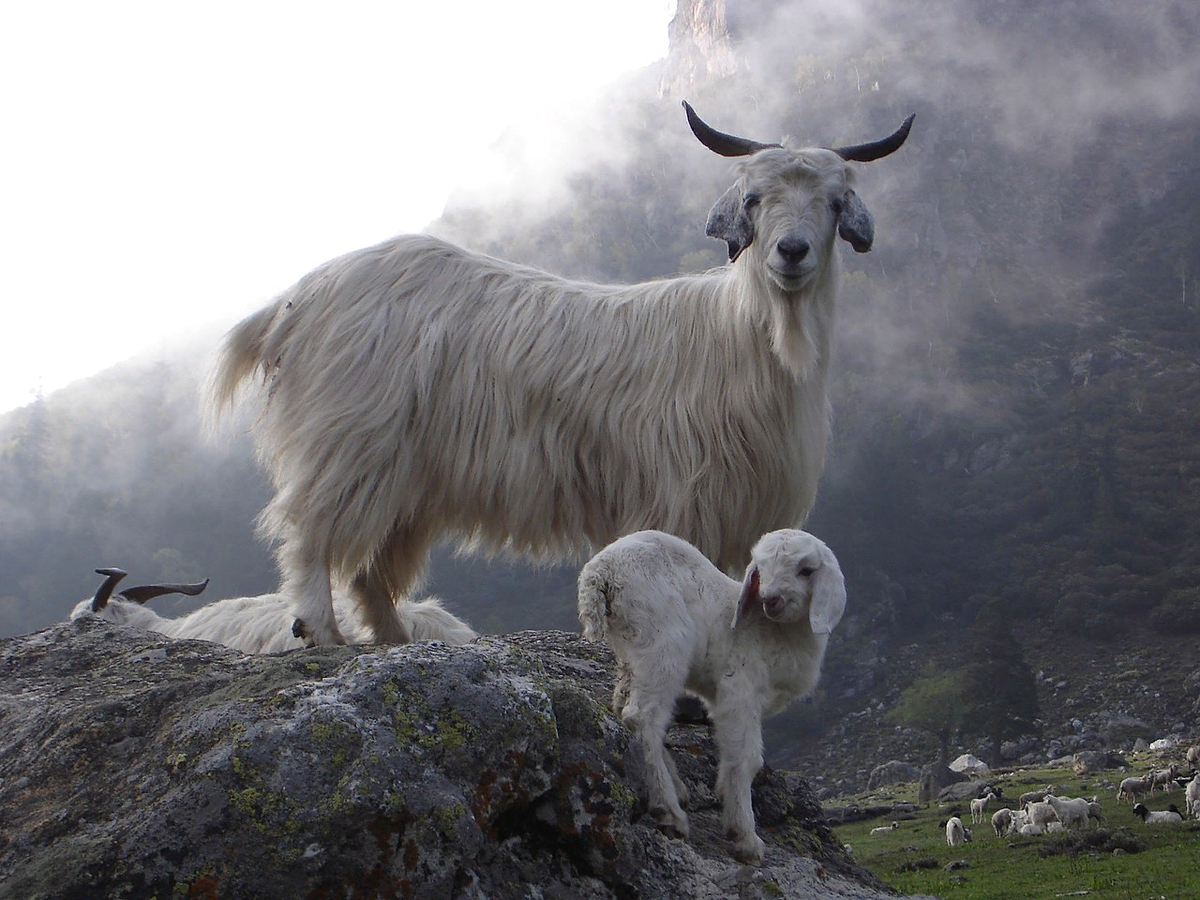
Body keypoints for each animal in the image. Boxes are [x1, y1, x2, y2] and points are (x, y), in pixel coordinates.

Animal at [206, 103, 907, 648]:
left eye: (834, 201)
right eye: (755, 199)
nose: (791, 252)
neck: (744, 336)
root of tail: (295, 299)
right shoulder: (681, 496)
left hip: (406, 477)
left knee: (370, 569)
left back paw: (396, 640)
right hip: (347, 440)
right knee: (310, 532)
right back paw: (322, 633)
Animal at [573, 528, 840, 868]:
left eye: (806, 570)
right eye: (761, 569)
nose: (771, 600)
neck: (775, 633)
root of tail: (599, 571)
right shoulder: (740, 689)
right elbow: (746, 758)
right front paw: (745, 836)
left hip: (632, 650)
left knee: (625, 706)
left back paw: (674, 787)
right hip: (663, 642)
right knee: (641, 717)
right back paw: (669, 811)